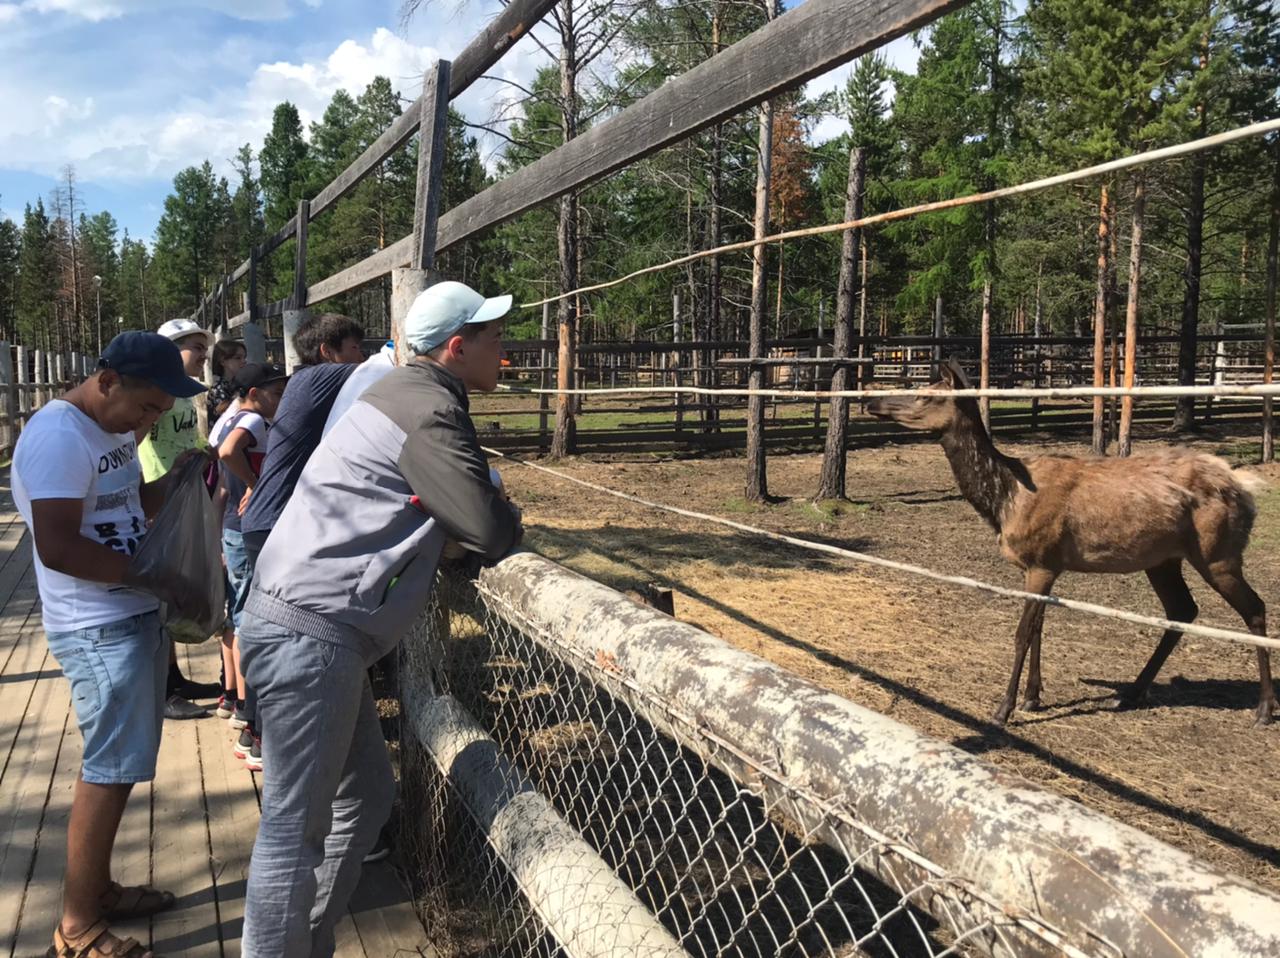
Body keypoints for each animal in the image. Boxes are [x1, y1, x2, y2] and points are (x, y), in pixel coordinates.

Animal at [865, 358, 1274, 727]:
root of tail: (1246, 490)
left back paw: (1263, 710)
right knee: (1182, 609)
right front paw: (1032, 697)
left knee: (1254, 607)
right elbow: (1039, 628)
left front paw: (1003, 709)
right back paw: (1132, 691)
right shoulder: (1044, 564)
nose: (872, 401)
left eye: (925, 395)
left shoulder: (1042, 561)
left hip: (1218, 553)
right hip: (1163, 559)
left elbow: (1022, 633)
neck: (1005, 500)